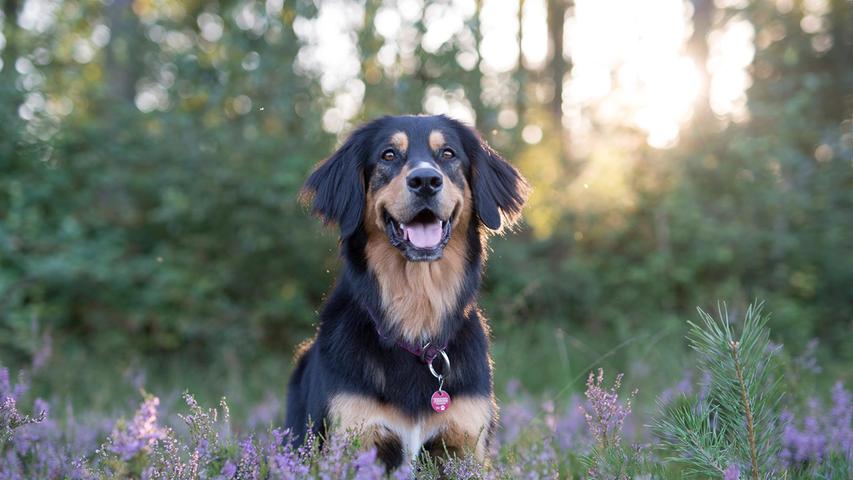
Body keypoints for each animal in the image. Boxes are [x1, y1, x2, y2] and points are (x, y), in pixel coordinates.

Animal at [286, 114, 524, 470]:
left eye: (448, 154)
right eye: (388, 155)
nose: (425, 180)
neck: (416, 319)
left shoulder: (465, 444)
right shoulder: (354, 436)